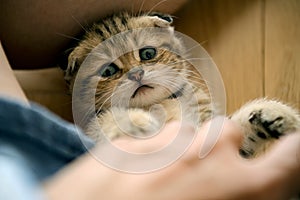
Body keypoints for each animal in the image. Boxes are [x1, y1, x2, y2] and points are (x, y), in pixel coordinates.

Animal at [61, 11, 300, 159]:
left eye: (148, 53)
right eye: (108, 71)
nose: (136, 74)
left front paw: (271, 113)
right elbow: (105, 122)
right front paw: (134, 124)